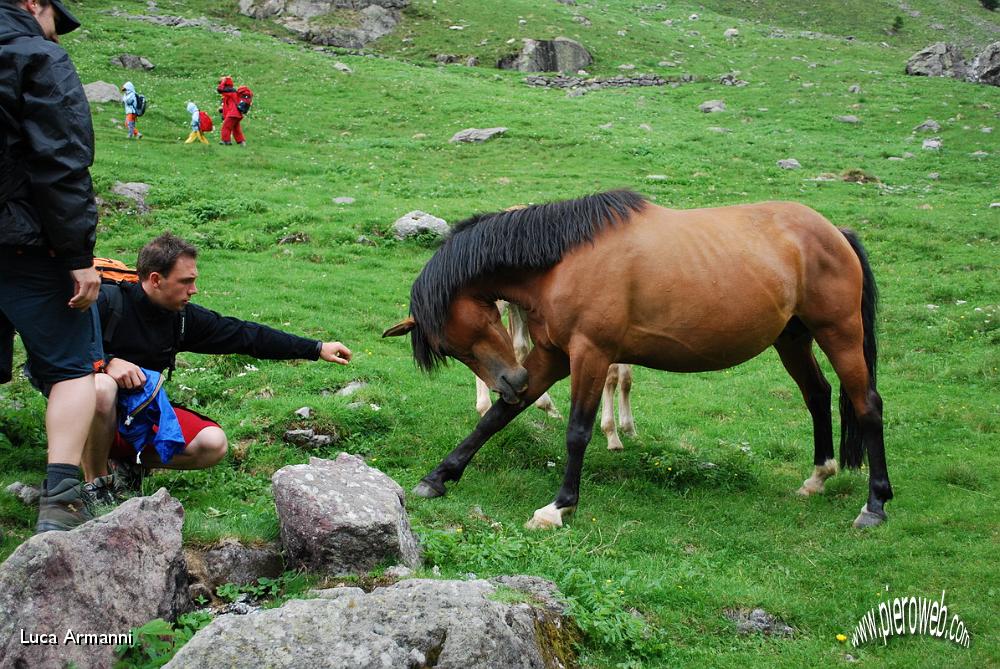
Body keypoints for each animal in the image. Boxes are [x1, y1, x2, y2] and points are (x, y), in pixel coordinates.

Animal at [382, 190, 892, 528]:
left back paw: (875, 505)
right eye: (450, 349)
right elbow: (496, 420)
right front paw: (439, 476)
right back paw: (817, 477)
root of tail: (834, 232)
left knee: (866, 404)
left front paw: (559, 506)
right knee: (818, 395)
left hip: (840, 333)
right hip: (792, 340)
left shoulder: (590, 354)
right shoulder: (553, 355)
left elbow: (577, 432)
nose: (510, 381)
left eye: (464, 336)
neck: (562, 261)